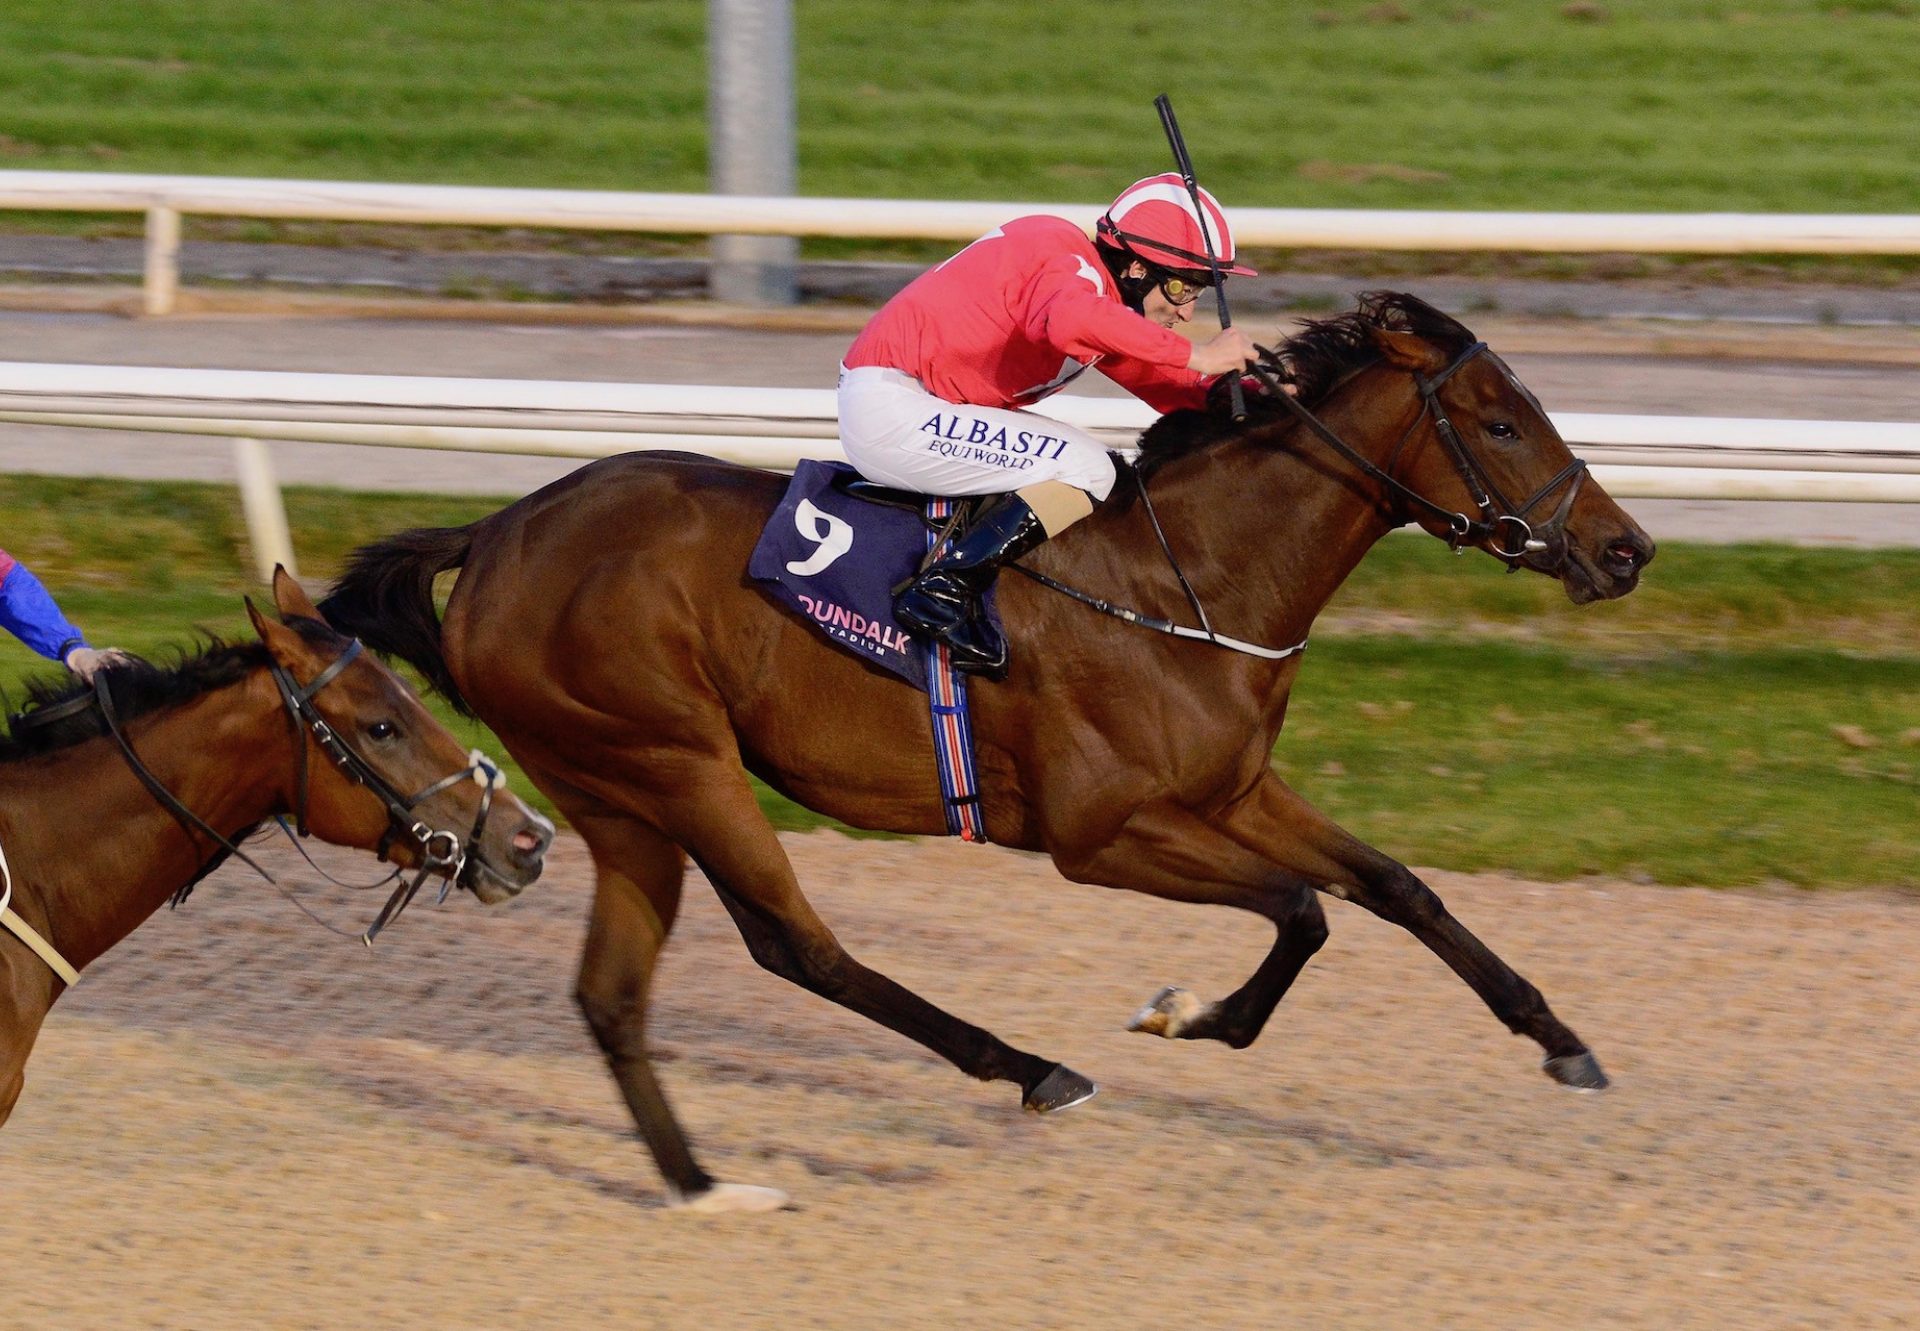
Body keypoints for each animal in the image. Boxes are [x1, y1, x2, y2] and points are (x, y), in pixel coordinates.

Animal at [322, 295, 1658, 1206]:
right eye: (1501, 420)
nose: (1627, 550)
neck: (1182, 579)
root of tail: (498, 531)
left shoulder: (1231, 787)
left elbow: (1394, 885)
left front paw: (1564, 1042)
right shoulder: (1098, 833)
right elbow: (1303, 911)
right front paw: (1186, 1013)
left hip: (620, 797)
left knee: (614, 990)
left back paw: (699, 1184)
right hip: (672, 758)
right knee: (796, 943)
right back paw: (1029, 1066)